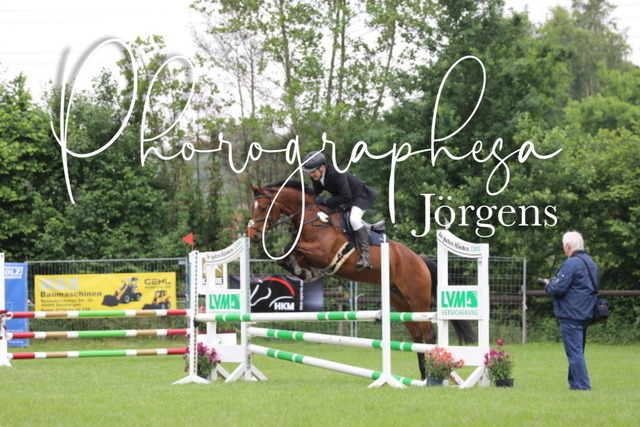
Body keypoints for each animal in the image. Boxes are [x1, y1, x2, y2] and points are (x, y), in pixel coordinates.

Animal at [247, 180, 476, 379]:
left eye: (263, 208)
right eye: (252, 207)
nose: (253, 236)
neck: (310, 216)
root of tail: (419, 259)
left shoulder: (324, 252)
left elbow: (289, 248)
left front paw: (304, 271)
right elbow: (286, 255)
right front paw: (304, 272)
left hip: (416, 298)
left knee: (428, 335)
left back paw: (432, 375)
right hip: (400, 301)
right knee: (417, 336)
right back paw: (423, 375)